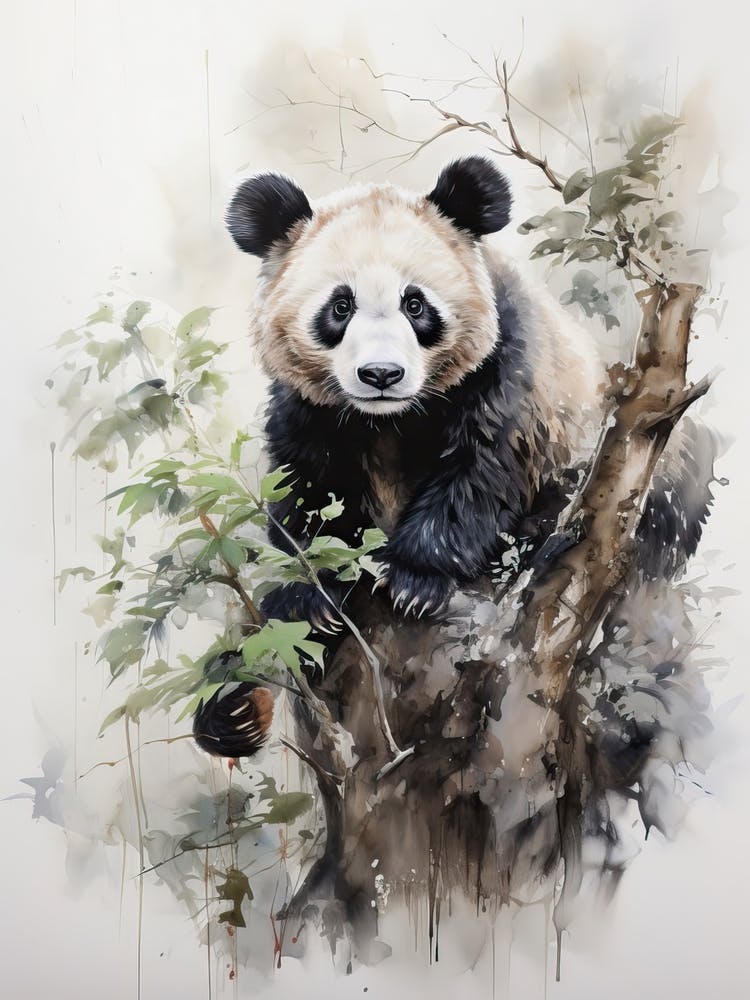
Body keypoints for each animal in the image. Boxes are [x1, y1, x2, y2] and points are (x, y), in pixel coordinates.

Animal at [192, 156, 713, 758]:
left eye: (415, 303)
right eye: (340, 306)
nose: (381, 374)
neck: (389, 418)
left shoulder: (507, 363)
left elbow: (485, 467)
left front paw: (414, 581)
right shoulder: (311, 407)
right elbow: (308, 487)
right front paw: (311, 597)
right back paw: (233, 709)